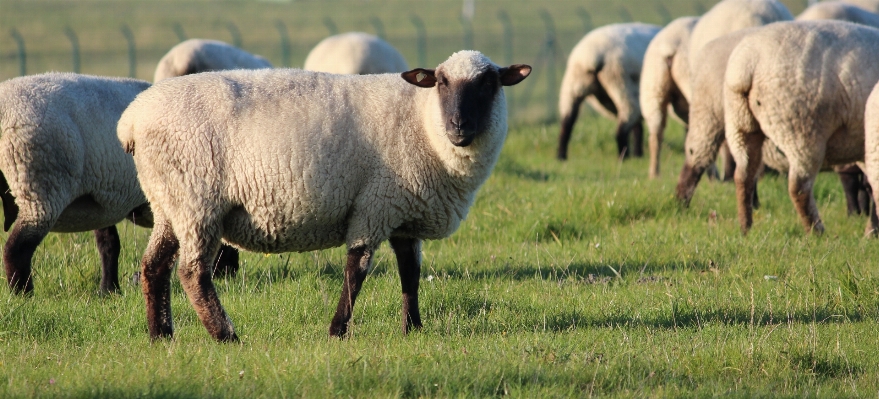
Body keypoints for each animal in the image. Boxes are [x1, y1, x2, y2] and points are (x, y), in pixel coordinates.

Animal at [116, 50, 528, 344]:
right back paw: (226, 336)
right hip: (196, 201)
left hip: (170, 203)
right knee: (192, 272)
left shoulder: (402, 213)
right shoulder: (374, 205)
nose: (459, 126)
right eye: (441, 82)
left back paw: (161, 336)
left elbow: (410, 274)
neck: (422, 121)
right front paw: (337, 331)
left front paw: (413, 329)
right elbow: (356, 269)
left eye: (489, 84)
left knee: (153, 267)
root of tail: (131, 120)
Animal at [556, 23, 660, 160]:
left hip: (573, 85)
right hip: (621, 83)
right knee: (623, 127)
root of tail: (593, 55)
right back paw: (624, 156)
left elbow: (638, 126)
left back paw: (561, 156)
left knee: (566, 123)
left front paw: (638, 154)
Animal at [720, 20, 879, 234]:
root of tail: (749, 62)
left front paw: (872, 231)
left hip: (740, 123)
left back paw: (746, 229)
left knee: (744, 175)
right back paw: (816, 231)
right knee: (799, 187)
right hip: (802, 130)